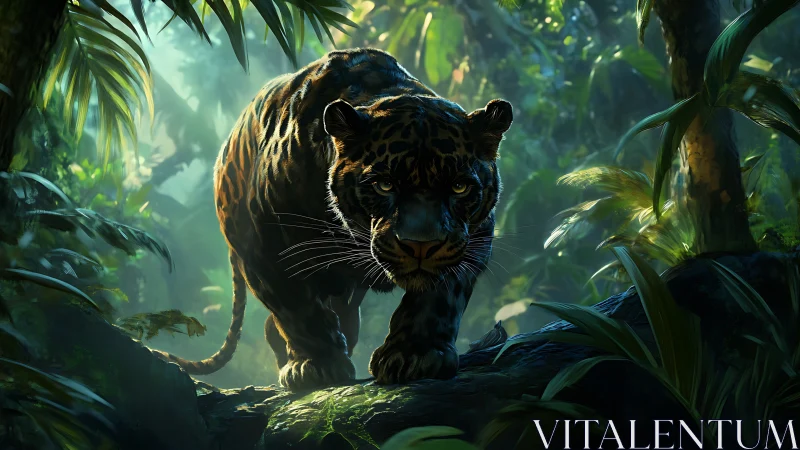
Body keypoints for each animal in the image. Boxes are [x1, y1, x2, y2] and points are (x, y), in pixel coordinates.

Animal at [153, 48, 513, 391]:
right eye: (384, 184)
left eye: (459, 187)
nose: (421, 246)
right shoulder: (265, 245)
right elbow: (295, 307)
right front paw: (316, 365)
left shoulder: (473, 237)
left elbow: (440, 295)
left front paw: (414, 355)